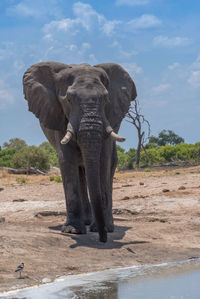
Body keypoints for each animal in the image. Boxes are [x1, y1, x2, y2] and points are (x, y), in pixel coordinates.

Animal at [22, 62, 137, 243]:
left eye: (106, 99)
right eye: (69, 100)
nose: (103, 239)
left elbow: (103, 160)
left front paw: (103, 228)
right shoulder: (59, 115)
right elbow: (66, 159)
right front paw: (72, 230)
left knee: (109, 165)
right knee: (80, 169)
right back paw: (87, 222)